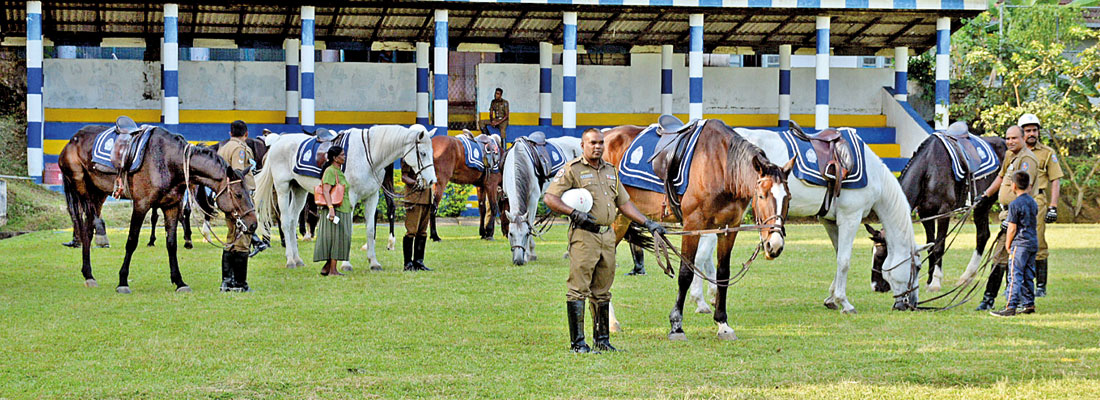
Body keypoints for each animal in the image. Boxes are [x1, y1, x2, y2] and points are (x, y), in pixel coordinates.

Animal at [60, 126, 257, 292]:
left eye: (250, 191)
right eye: (238, 194)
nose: (253, 224)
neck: (169, 160)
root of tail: (71, 141)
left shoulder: (171, 206)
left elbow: (171, 244)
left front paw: (179, 281)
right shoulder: (141, 205)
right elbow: (131, 241)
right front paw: (123, 281)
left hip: (99, 193)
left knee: (87, 230)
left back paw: (89, 274)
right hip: (83, 190)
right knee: (88, 224)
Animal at [253, 124, 437, 269]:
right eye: (422, 153)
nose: (431, 180)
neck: (368, 155)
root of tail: (278, 141)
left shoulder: (372, 197)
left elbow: (370, 229)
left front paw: (373, 262)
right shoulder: (351, 197)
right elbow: (348, 229)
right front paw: (346, 264)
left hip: (299, 190)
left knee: (292, 222)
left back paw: (297, 259)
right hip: (283, 188)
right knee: (285, 221)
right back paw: (290, 260)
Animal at [501, 136, 580, 265]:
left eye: (526, 234)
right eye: (510, 234)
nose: (518, 260)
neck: (519, 158)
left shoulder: (533, 199)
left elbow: (530, 222)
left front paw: (529, 254)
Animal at [602, 120, 792, 338]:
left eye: (788, 198)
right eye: (761, 196)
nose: (774, 245)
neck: (722, 167)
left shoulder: (729, 227)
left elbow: (723, 273)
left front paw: (722, 323)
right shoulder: (693, 224)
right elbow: (686, 273)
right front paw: (676, 325)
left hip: (623, 216)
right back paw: (611, 320)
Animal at [734, 128, 932, 312]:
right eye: (918, 267)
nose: (911, 303)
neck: (875, 174)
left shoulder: (830, 221)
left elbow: (838, 256)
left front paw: (831, 298)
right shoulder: (851, 217)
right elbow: (844, 261)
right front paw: (845, 302)